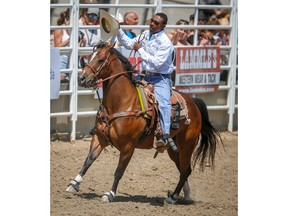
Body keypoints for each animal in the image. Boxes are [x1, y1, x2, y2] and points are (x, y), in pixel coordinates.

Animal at [66, 41, 223, 204]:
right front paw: (74, 184)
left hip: (187, 145)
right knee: (183, 170)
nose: (82, 78)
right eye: (90, 56)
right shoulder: (99, 138)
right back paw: (184, 195)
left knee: (186, 170)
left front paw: (109, 193)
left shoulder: (128, 146)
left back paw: (172, 197)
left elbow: (119, 171)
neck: (122, 103)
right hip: (173, 149)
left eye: (101, 60)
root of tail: (194, 103)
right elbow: (88, 160)